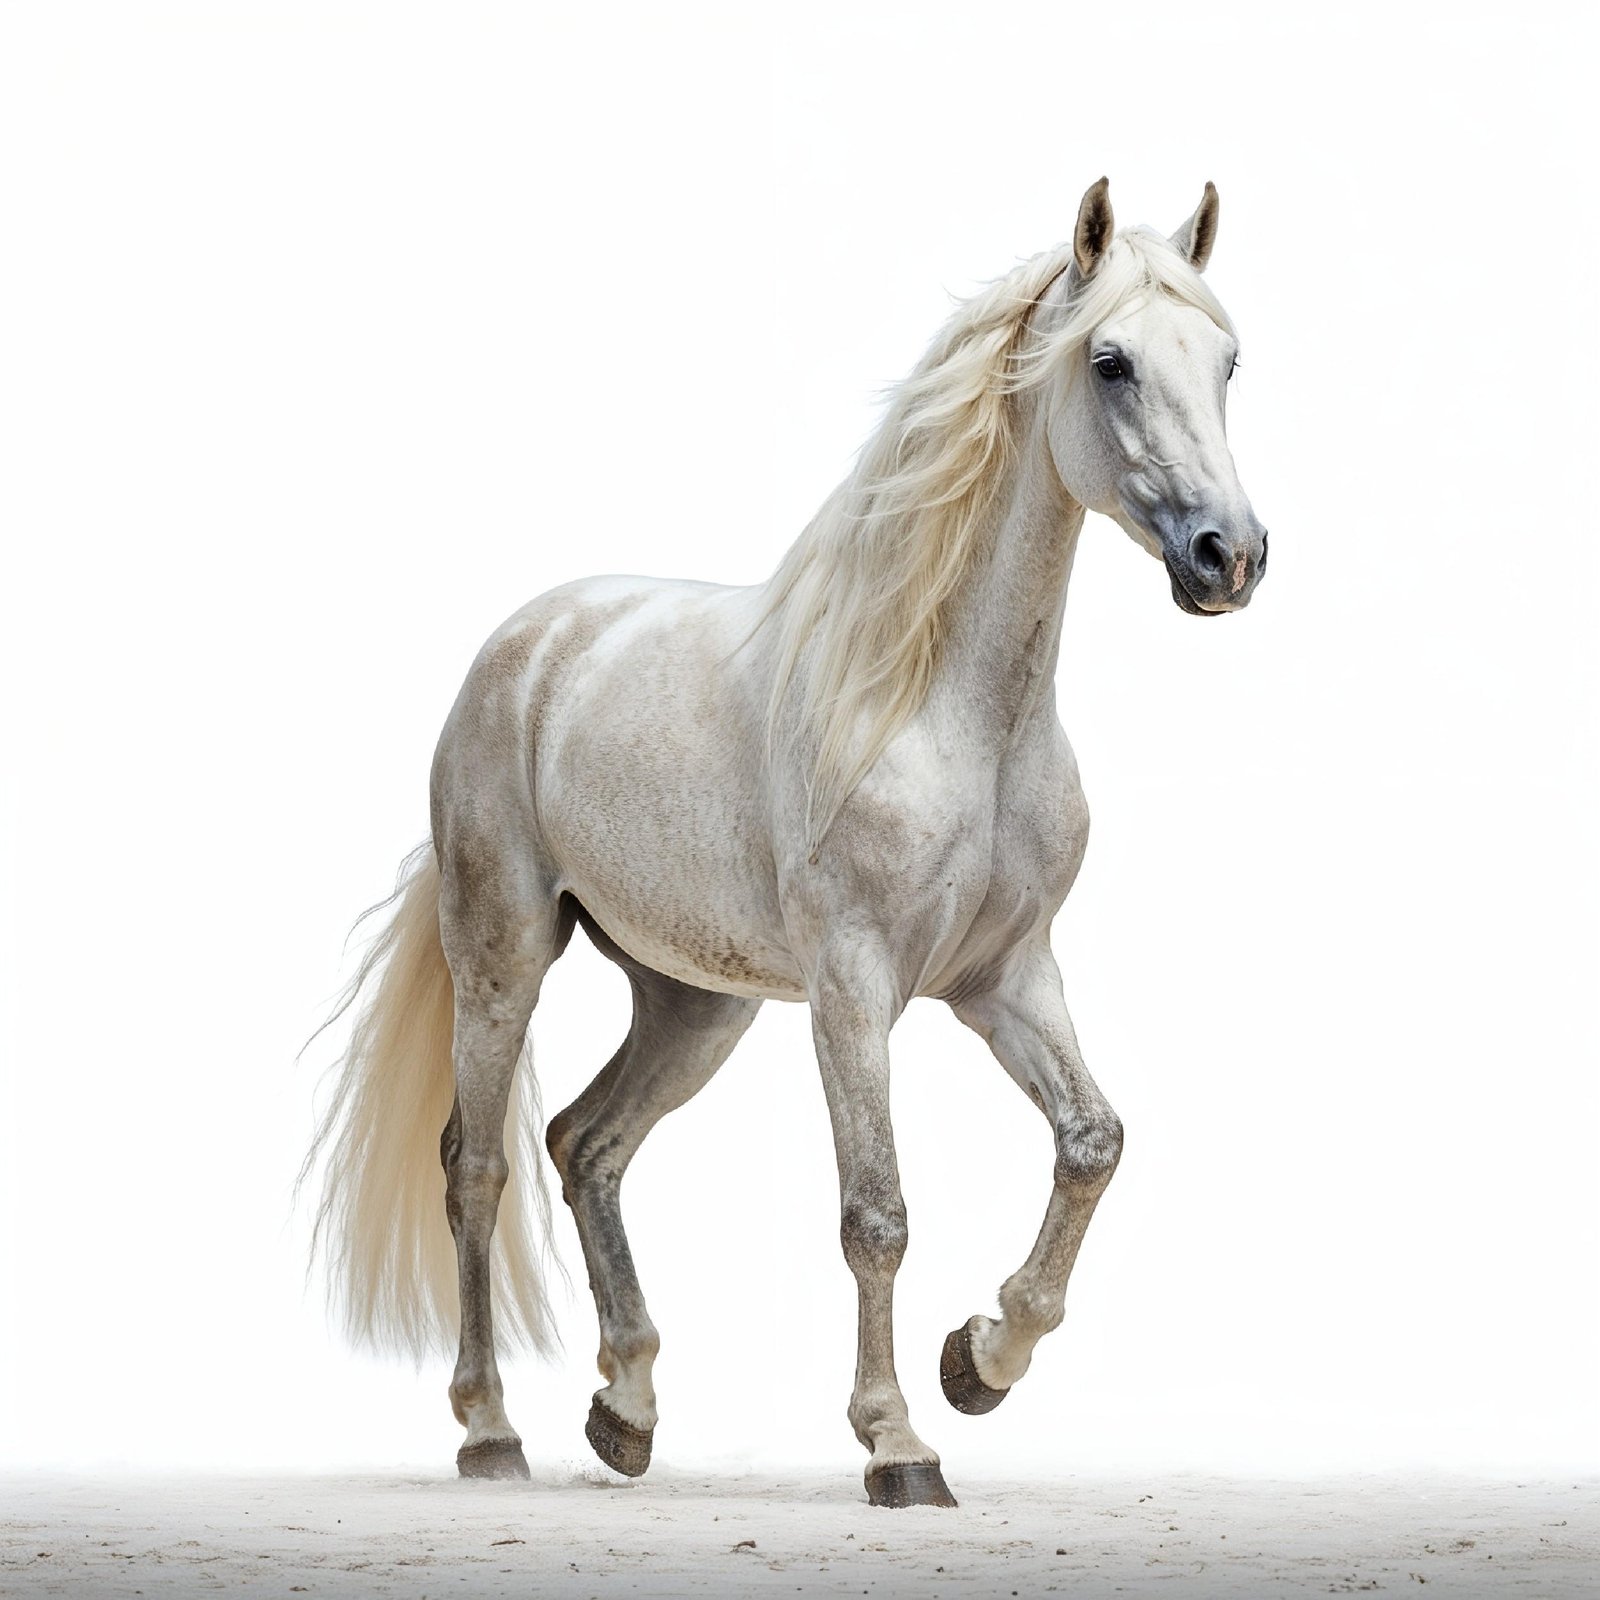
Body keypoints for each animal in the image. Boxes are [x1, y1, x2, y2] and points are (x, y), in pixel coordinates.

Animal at [305, 177, 1267, 1509]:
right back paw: (490, 1431)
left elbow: (1092, 1142)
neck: (948, 710)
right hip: (503, 960)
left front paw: (980, 1359)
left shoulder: (1005, 975)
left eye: (1227, 360)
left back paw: (627, 1411)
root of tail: (528, 645)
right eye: (1111, 361)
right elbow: (876, 1212)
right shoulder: (855, 985)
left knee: (586, 1144)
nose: (1229, 558)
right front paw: (899, 1442)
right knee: (478, 1164)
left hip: (694, 1002)